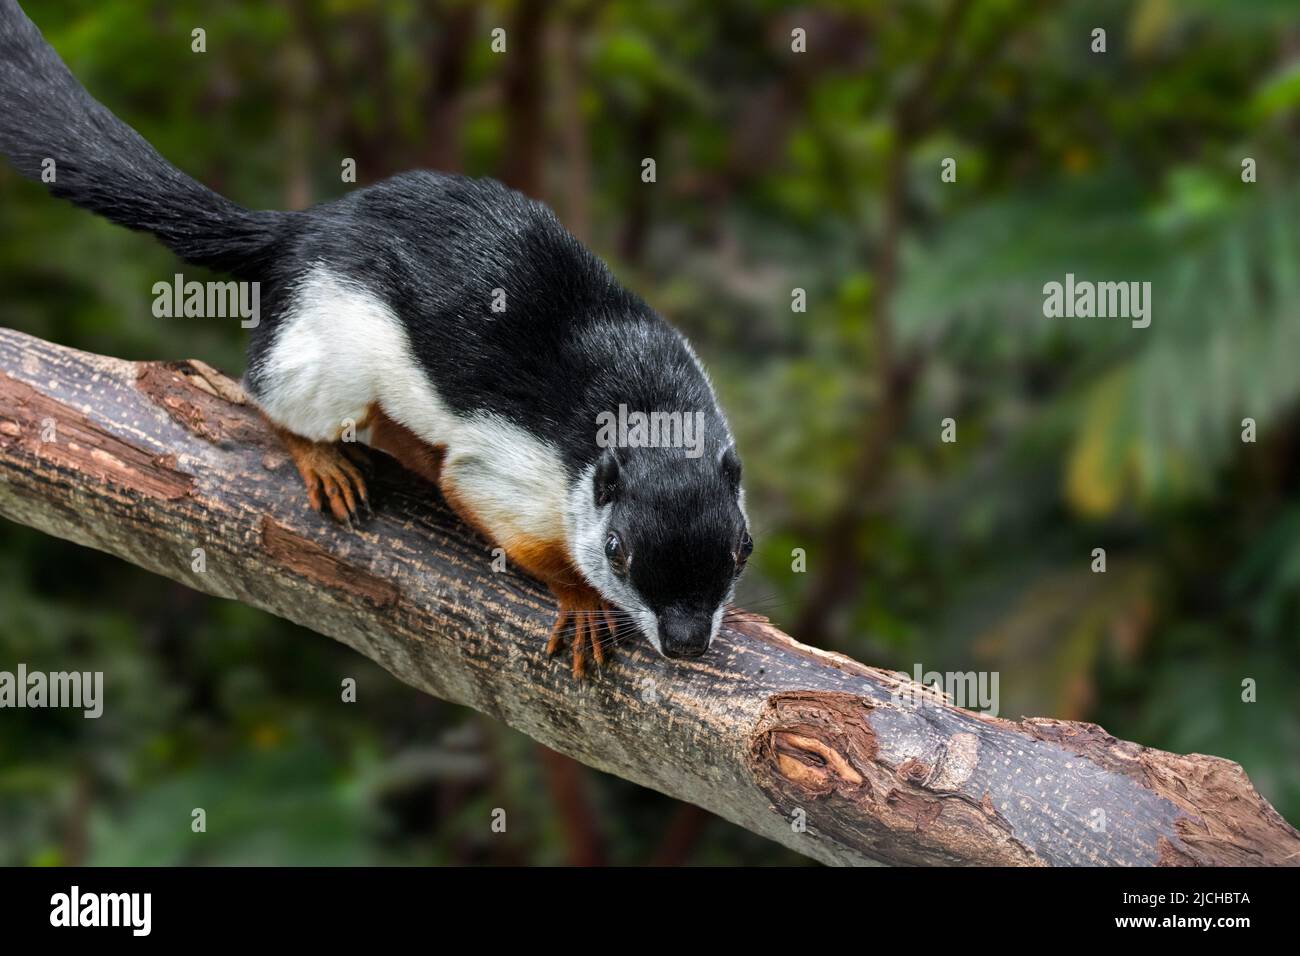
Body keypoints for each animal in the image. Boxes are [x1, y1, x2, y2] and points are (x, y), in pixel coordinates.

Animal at [0, 0, 752, 676]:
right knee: (273, 397)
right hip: (330, 353)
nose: (686, 643)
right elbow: (482, 503)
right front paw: (580, 599)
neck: (646, 404)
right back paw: (320, 455)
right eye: (617, 550)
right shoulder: (509, 467)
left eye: (742, 547)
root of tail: (302, 229)